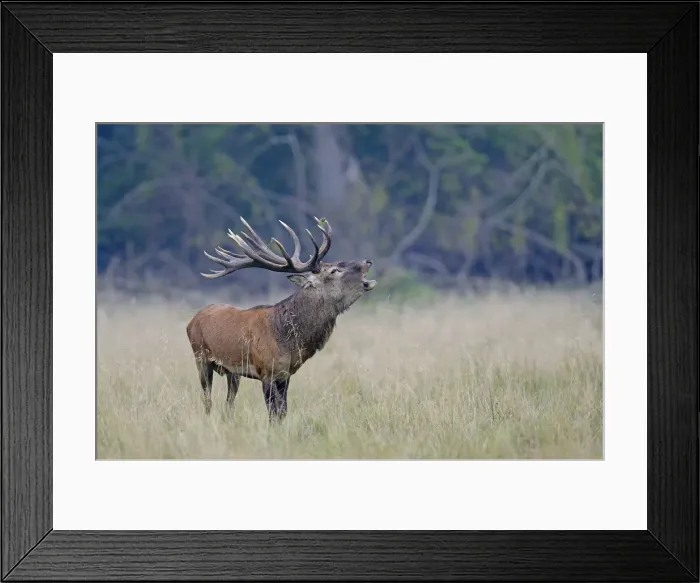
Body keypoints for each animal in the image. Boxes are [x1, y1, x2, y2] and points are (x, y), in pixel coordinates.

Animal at [186, 216, 377, 423]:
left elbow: (283, 411)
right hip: (200, 358)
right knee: (207, 399)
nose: (367, 261)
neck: (287, 340)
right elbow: (273, 414)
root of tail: (192, 320)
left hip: (232, 372)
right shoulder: (266, 372)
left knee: (229, 402)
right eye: (334, 271)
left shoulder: (286, 374)